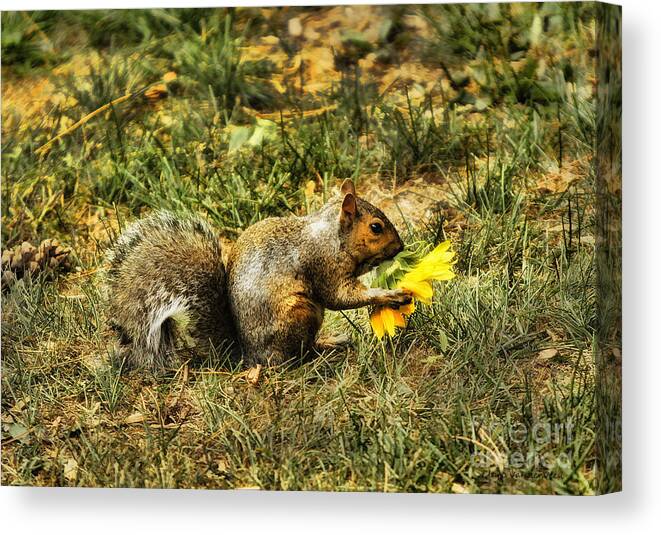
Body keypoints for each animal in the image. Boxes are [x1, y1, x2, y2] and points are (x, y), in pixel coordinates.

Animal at [105, 181, 410, 372]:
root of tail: (249, 357)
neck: (331, 235)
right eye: (376, 227)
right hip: (299, 312)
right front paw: (390, 294)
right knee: (294, 357)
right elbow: (340, 297)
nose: (401, 247)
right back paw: (320, 354)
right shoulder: (323, 266)